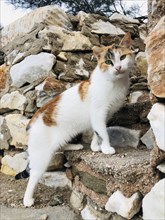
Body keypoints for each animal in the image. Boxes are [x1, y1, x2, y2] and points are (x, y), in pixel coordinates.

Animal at [19, 32, 135, 206]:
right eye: (108, 62)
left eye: (122, 57)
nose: (118, 67)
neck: (115, 83)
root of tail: (32, 120)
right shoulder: (99, 112)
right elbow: (103, 132)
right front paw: (106, 148)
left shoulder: (103, 115)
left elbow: (97, 131)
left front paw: (95, 146)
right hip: (42, 155)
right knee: (33, 176)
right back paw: (28, 199)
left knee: (61, 145)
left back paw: (74, 146)